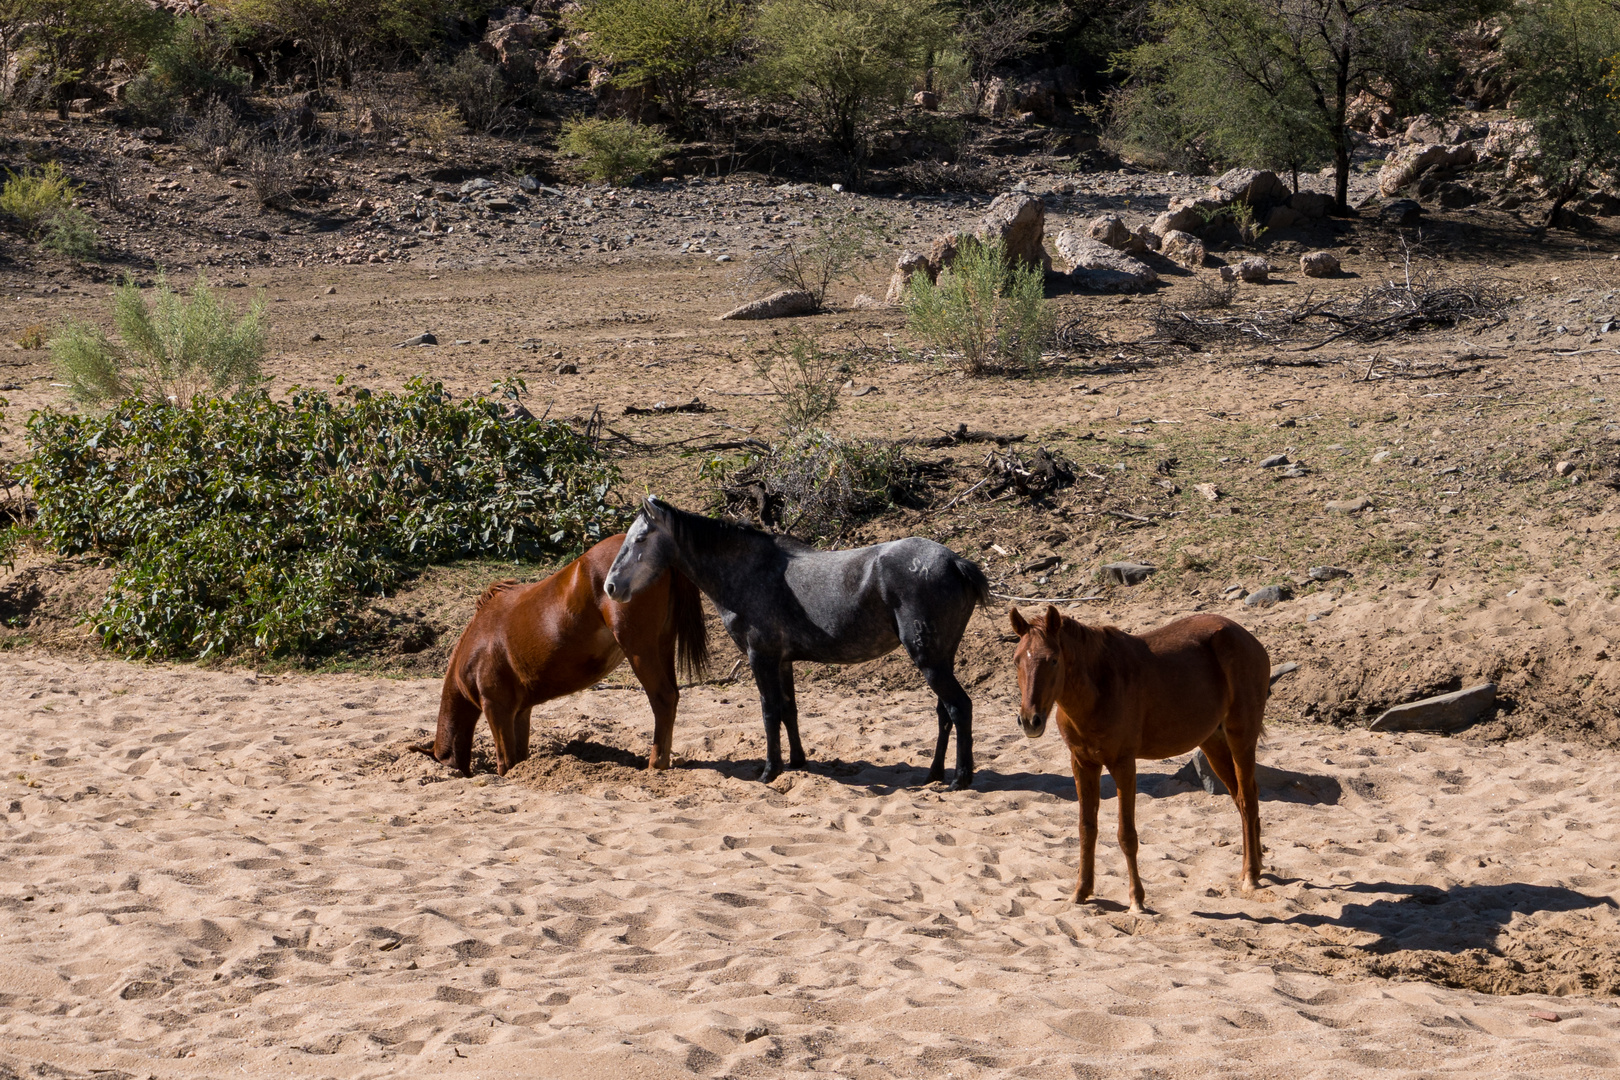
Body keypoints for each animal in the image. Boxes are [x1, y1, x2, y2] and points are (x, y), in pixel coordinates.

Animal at [414, 534, 706, 777]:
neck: (476, 644)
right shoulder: (519, 711)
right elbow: (519, 758)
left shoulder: (496, 707)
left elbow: (506, 763)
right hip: (662, 644)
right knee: (672, 696)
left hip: (639, 649)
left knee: (662, 698)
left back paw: (655, 765)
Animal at [605, 498, 991, 793]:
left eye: (641, 539)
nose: (610, 587)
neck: (750, 571)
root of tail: (955, 561)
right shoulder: (783, 661)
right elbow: (789, 710)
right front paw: (797, 762)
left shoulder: (760, 657)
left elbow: (769, 711)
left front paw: (769, 770)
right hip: (941, 659)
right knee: (944, 713)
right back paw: (933, 774)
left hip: (929, 661)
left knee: (960, 708)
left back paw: (959, 779)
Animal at [1004, 608, 1270, 913]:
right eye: (1016, 660)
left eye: (1053, 659)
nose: (1029, 721)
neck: (1099, 688)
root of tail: (1248, 638)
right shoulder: (1083, 764)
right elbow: (1086, 828)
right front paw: (1081, 891)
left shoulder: (1123, 765)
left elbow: (1126, 835)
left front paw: (1136, 899)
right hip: (1213, 743)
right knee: (1242, 798)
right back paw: (1254, 866)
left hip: (1241, 738)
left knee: (1248, 800)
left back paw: (1250, 875)